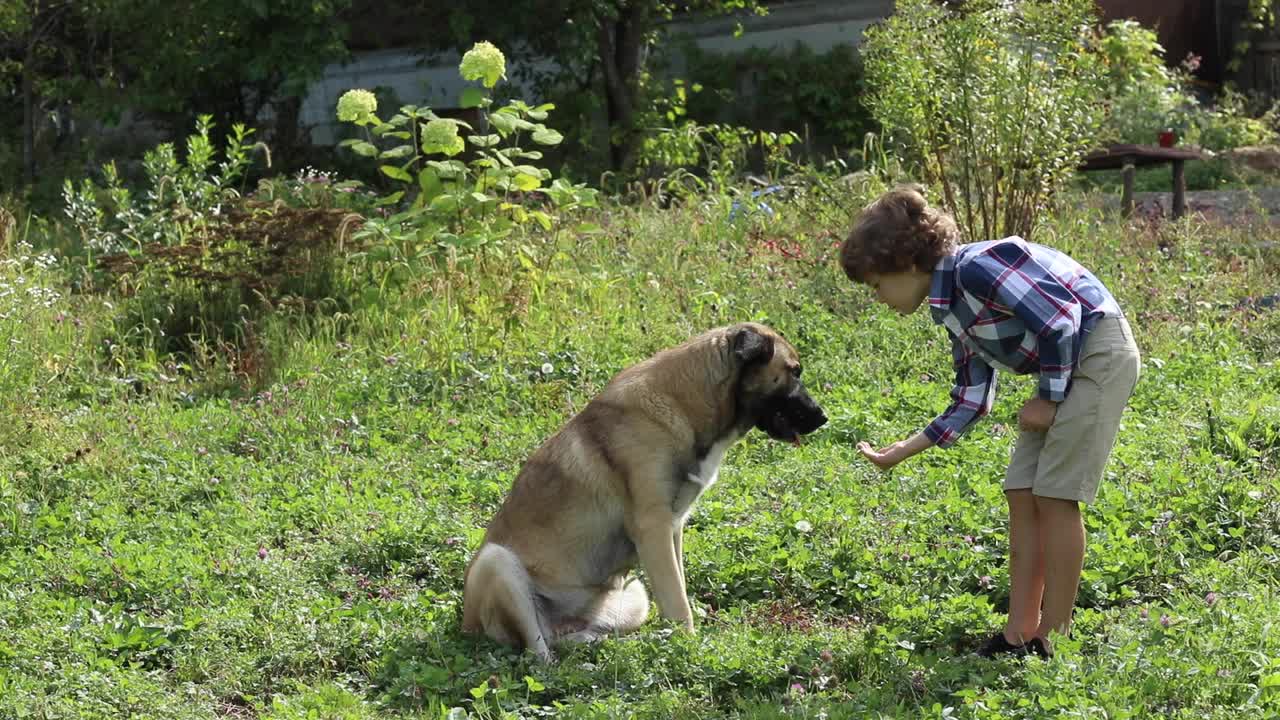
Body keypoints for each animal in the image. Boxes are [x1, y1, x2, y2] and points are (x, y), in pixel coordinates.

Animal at [463, 322, 829, 661]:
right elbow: (678, 601)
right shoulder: (653, 529)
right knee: (538, 652)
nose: (823, 417)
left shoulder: (673, 528)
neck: (689, 404)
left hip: (634, 598)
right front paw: (689, 647)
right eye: (793, 371)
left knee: (568, 639)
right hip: (496, 562)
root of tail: (467, 624)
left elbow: (678, 590)